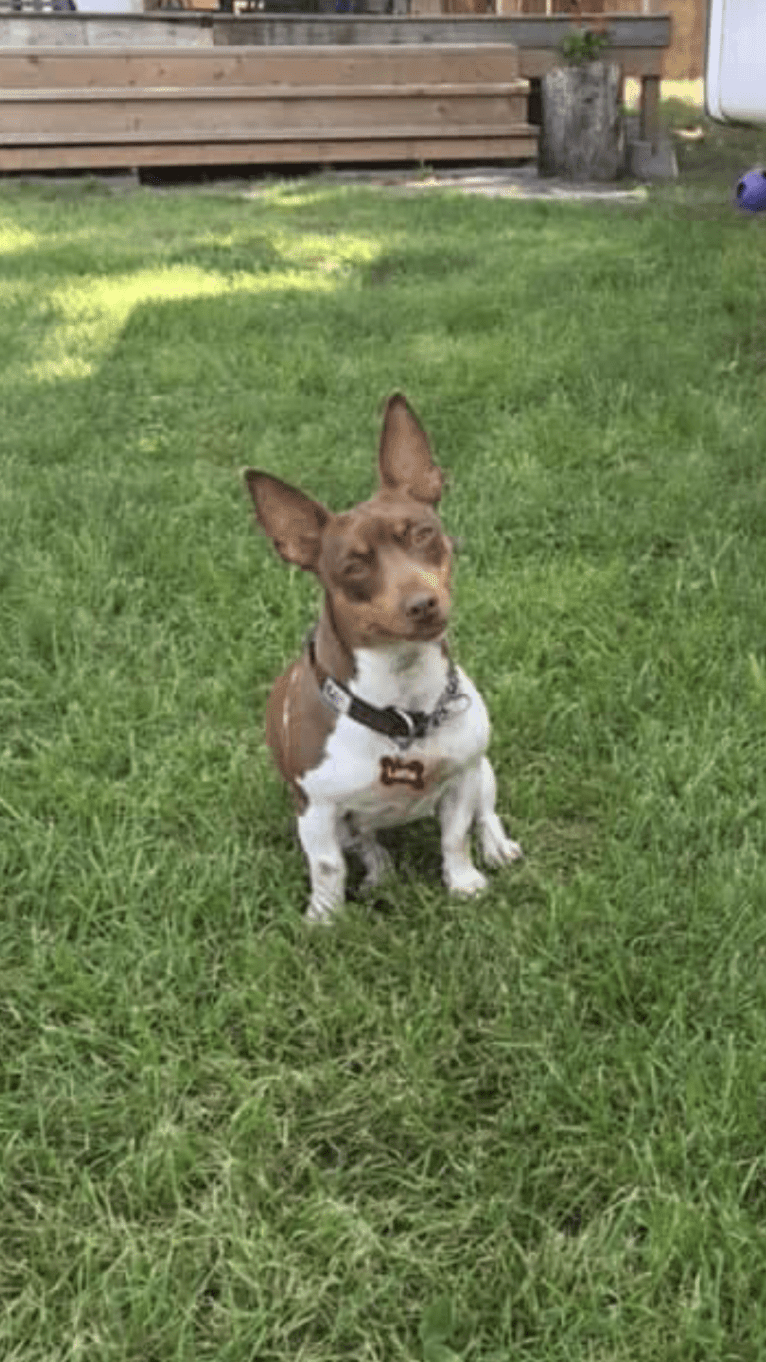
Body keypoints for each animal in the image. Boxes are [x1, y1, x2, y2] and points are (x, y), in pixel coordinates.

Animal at [243, 394, 517, 926]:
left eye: (423, 533)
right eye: (354, 565)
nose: (422, 603)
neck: (403, 701)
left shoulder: (462, 777)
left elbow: (456, 836)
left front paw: (464, 883)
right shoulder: (315, 809)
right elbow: (327, 866)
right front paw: (324, 917)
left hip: (483, 766)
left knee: (485, 811)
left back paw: (496, 845)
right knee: (364, 843)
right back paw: (378, 869)